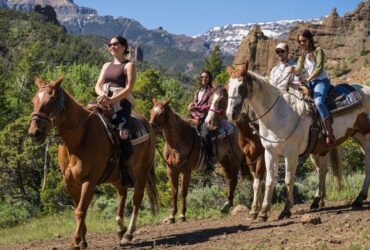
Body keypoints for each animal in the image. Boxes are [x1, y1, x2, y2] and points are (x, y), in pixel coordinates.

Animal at [27, 76, 158, 248]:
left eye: (52, 99)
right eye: (34, 100)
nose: (34, 133)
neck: (79, 139)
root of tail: (147, 124)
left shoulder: (89, 181)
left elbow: (80, 210)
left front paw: (75, 241)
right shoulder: (70, 182)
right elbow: (79, 209)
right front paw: (82, 241)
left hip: (142, 172)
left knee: (137, 198)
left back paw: (128, 233)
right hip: (117, 176)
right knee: (122, 193)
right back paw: (120, 228)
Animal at [205, 86, 266, 219]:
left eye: (221, 99)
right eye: (209, 99)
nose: (208, 122)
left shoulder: (246, 158)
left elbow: (246, 180)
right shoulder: (244, 158)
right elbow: (254, 180)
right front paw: (256, 207)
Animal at [225, 61, 370, 222]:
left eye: (241, 86)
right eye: (227, 87)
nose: (230, 114)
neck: (278, 114)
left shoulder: (291, 154)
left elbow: (288, 180)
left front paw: (286, 210)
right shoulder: (270, 153)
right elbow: (269, 181)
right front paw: (263, 213)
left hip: (366, 138)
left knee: (366, 167)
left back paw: (359, 199)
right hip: (351, 138)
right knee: (323, 170)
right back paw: (318, 201)